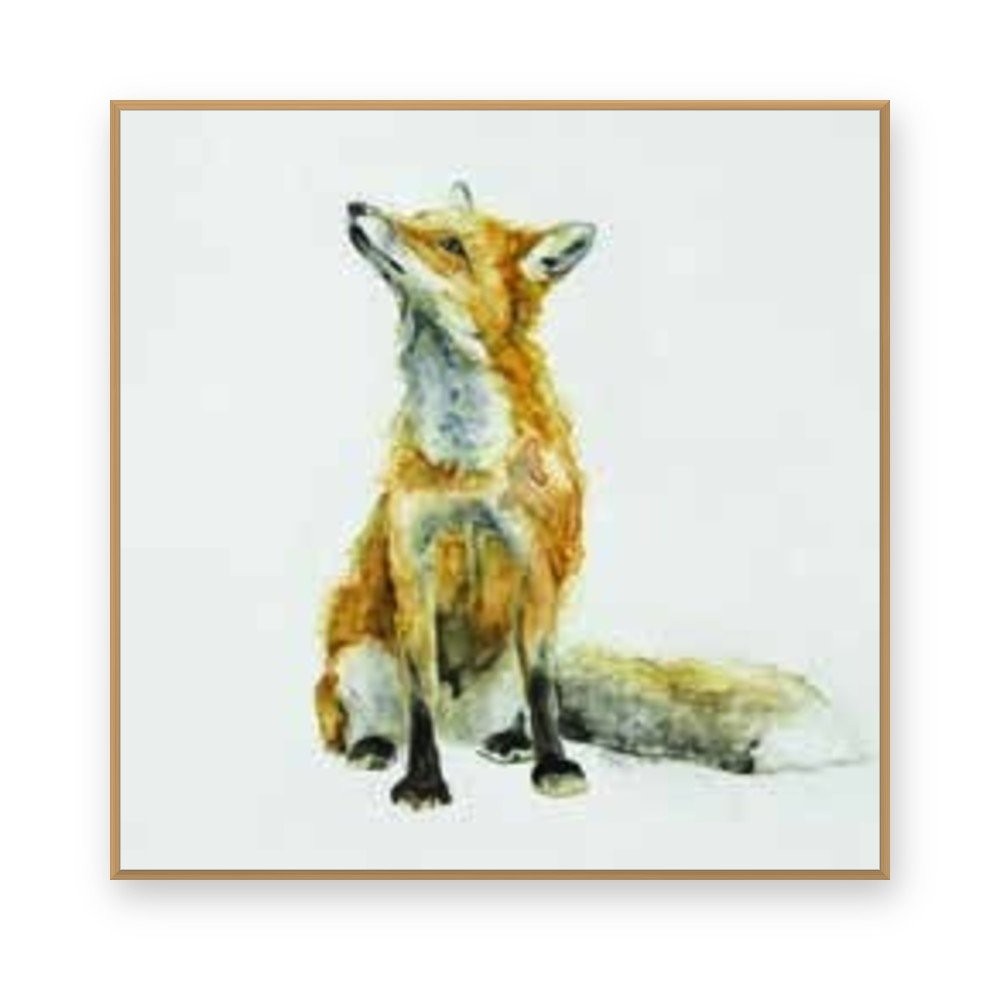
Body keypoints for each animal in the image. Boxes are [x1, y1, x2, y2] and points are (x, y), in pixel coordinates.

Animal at [315, 181, 854, 809]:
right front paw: (424, 780)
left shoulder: (536, 565)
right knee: (375, 718)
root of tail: (461, 722)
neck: (468, 462)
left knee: (520, 705)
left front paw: (553, 765)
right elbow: (420, 695)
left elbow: (543, 691)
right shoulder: (413, 565)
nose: (356, 206)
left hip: (502, 670)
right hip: (359, 661)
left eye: (449, 243)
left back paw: (509, 742)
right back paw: (373, 745)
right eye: (418, 216)